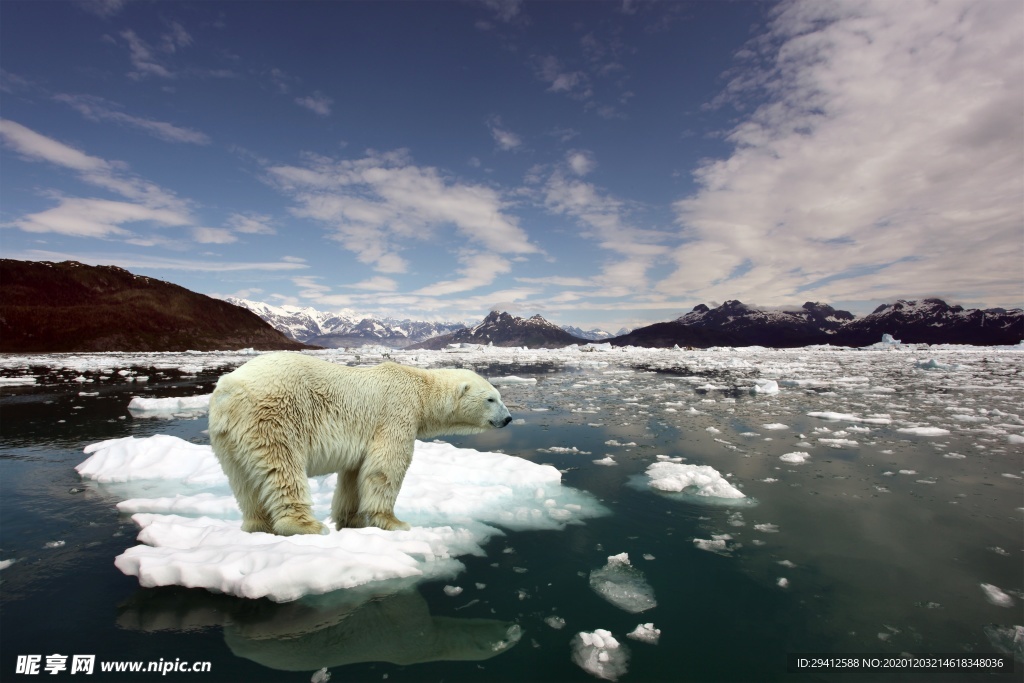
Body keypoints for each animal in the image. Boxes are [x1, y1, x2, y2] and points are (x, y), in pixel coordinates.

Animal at [207, 356, 512, 536]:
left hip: (227, 437)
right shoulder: (396, 412)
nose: (508, 419)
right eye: (491, 399)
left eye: (498, 396)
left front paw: (351, 520)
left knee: (243, 481)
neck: (420, 389)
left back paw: (257, 525)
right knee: (283, 468)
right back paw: (306, 525)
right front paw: (393, 522)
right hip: (274, 417)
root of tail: (229, 389)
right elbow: (386, 467)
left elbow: (354, 475)